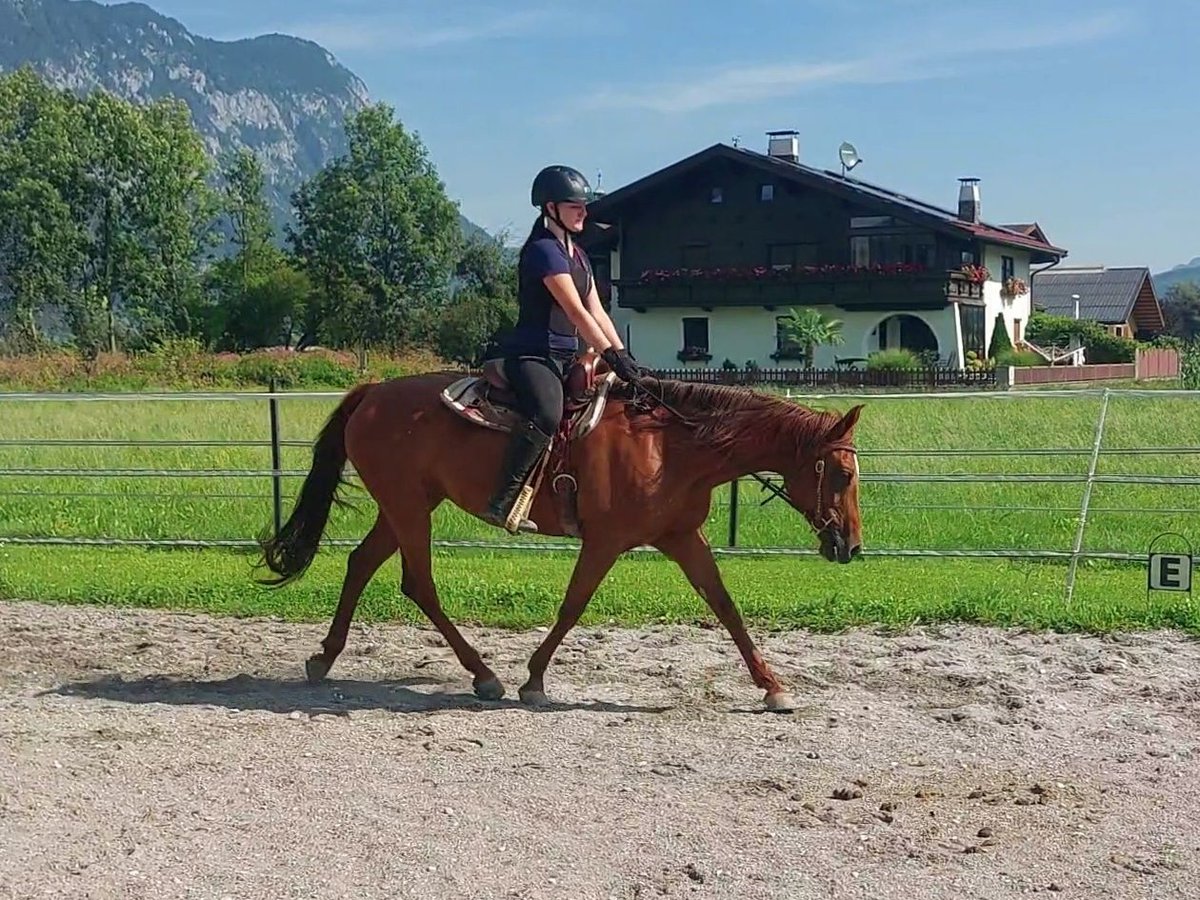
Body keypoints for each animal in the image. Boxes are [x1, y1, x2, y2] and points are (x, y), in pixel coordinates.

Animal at [255, 355, 864, 715]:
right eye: (841, 473)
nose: (851, 546)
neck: (671, 446)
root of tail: (374, 392)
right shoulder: (605, 541)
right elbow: (574, 605)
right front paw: (533, 680)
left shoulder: (683, 538)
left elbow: (726, 607)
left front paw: (773, 686)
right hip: (408, 508)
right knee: (418, 583)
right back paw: (485, 676)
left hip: (406, 505)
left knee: (362, 563)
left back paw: (324, 659)